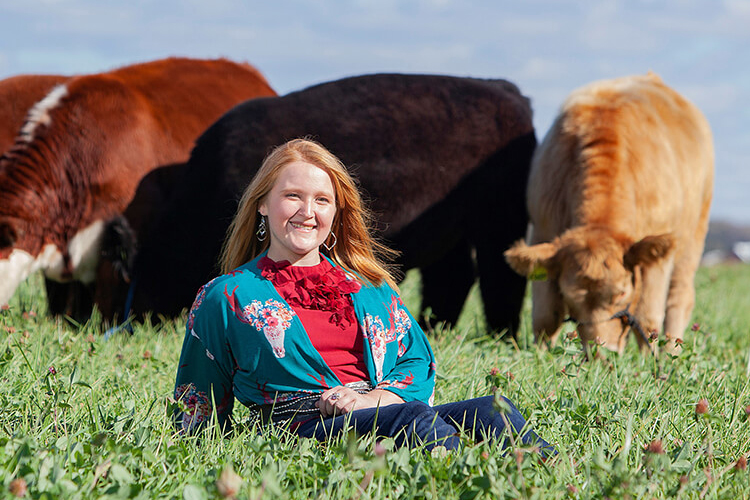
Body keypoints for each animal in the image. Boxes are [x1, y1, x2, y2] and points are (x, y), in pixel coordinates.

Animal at [122, 73, 536, 336]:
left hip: (497, 223)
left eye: (148, 270)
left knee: (501, 279)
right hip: (452, 235)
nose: (135, 323)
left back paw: (501, 336)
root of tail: (509, 93)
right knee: (453, 280)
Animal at [506, 73, 716, 356]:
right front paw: (540, 355)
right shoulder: (543, 231)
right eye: (570, 297)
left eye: (621, 293)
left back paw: (672, 352)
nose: (601, 353)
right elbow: (545, 315)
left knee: (678, 299)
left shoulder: (657, 257)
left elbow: (648, 319)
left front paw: (648, 359)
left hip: (692, 239)